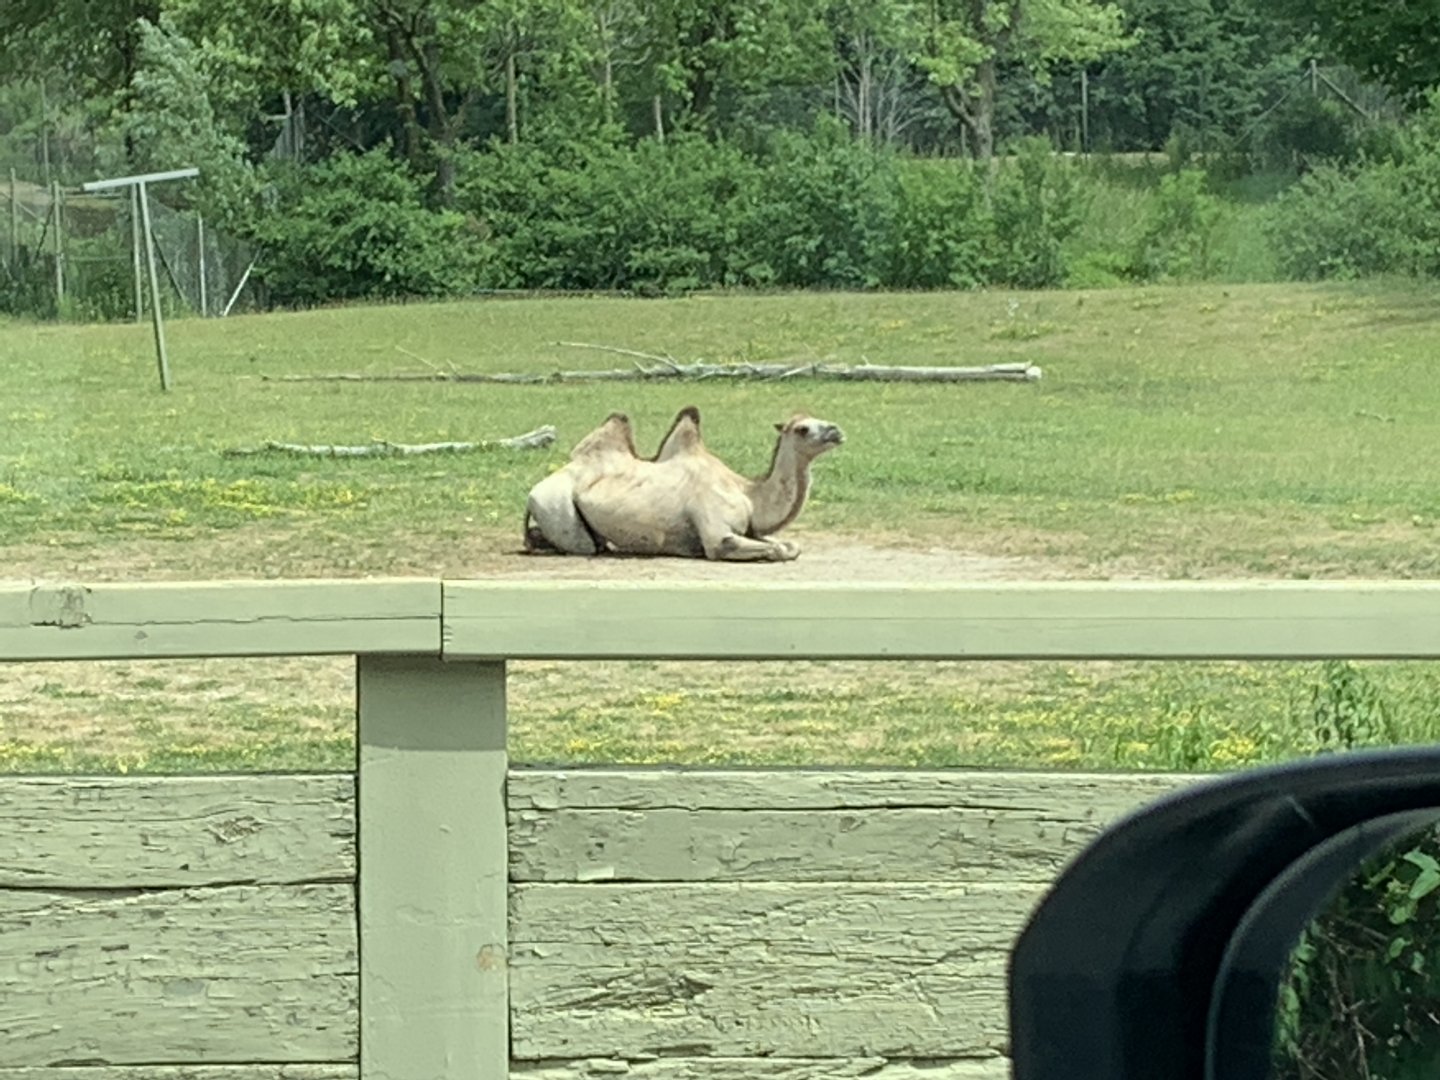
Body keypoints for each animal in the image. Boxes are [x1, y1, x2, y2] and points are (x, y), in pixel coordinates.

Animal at [523, 406, 844, 561]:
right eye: (802, 429)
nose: (836, 430)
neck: (747, 493)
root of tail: (534, 490)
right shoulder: (717, 536)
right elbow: (776, 550)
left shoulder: (750, 529)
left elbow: (789, 545)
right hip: (556, 506)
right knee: (585, 545)